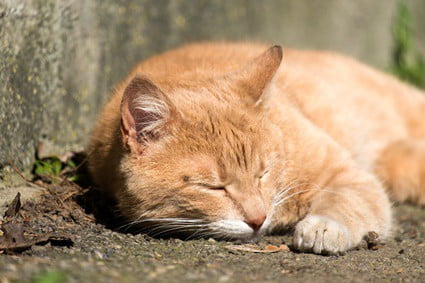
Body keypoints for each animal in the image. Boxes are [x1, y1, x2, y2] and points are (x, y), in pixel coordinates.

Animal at [87, 41, 424, 255]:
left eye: (263, 173)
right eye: (213, 187)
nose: (258, 219)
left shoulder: (347, 174)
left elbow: (346, 201)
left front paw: (323, 227)